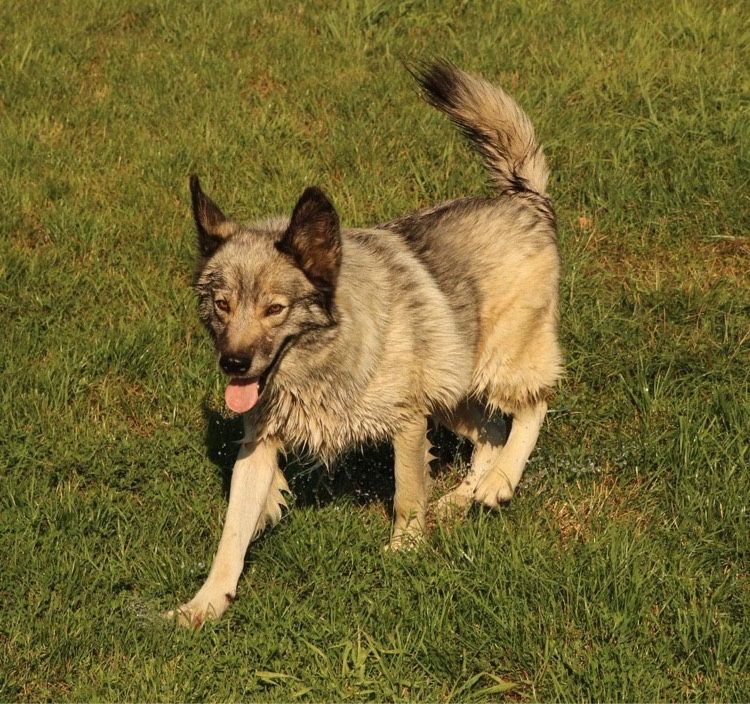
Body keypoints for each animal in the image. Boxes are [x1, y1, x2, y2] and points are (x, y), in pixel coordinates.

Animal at [166, 57, 564, 624]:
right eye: (222, 305)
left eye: (275, 309)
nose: (234, 364)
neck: (323, 363)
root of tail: (523, 199)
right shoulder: (259, 442)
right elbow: (232, 532)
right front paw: (206, 603)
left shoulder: (406, 421)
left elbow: (406, 495)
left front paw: (405, 551)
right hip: (452, 390)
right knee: (490, 431)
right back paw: (463, 499)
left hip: (500, 362)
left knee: (533, 407)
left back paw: (500, 483)